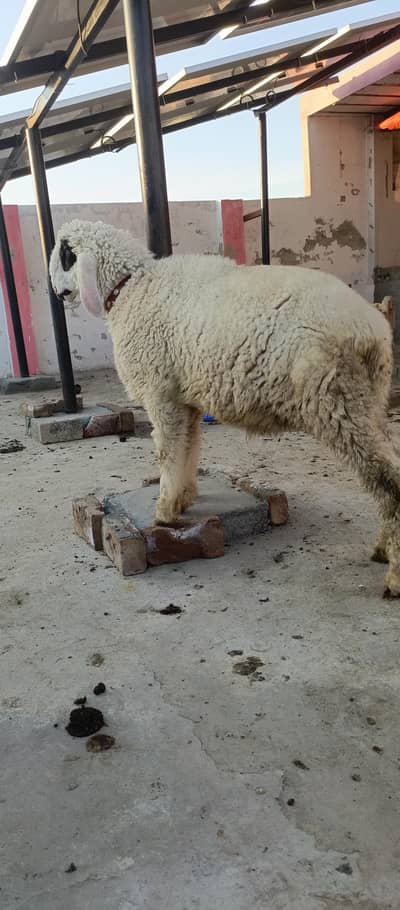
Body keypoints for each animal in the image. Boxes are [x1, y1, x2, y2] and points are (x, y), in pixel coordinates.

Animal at [50, 218, 400, 597]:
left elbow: (168, 453)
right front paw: (184, 498)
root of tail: (373, 329)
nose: (55, 292)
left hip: (338, 401)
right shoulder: (185, 400)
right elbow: (188, 449)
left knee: (387, 480)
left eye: (64, 255)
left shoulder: (161, 395)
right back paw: (382, 550)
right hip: (370, 398)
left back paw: (394, 577)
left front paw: (163, 511)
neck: (131, 288)